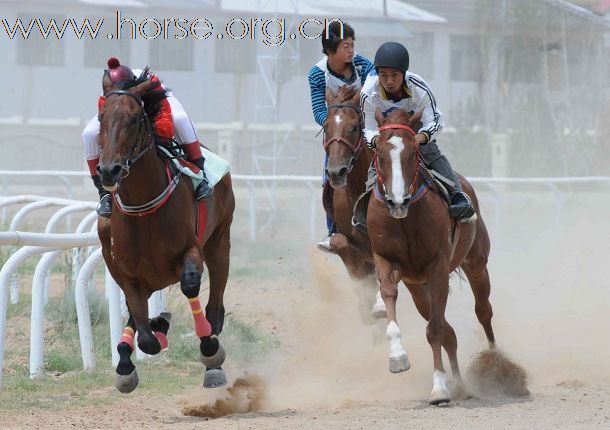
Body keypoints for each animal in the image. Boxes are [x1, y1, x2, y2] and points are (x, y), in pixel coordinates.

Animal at [95, 67, 235, 394]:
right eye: (101, 117)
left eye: (135, 118)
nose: (109, 170)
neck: (143, 207)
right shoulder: (128, 274)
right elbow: (144, 333)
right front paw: (132, 359)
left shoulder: (192, 250)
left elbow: (190, 285)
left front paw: (209, 348)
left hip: (220, 242)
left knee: (214, 306)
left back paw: (211, 357)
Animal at [366, 109, 494, 404]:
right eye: (380, 153)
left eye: (413, 152)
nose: (397, 202)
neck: (405, 219)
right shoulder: (387, 261)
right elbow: (389, 294)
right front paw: (397, 357)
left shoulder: (437, 266)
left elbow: (435, 330)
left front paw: (438, 389)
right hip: (418, 290)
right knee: (450, 332)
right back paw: (459, 383)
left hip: (476, 262)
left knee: (483, 310)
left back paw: (498, 364)